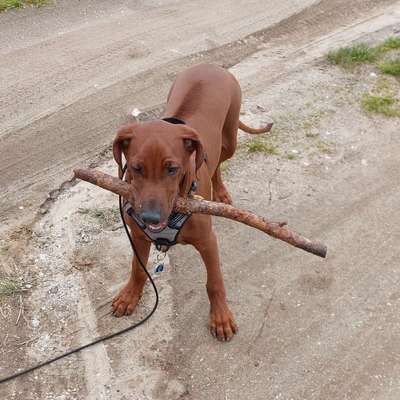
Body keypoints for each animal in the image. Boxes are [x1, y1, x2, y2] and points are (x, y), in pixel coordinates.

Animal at [111, 62, 270, 340]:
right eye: (136, 168)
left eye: (172, 169)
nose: (150, 217)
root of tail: (212, 66)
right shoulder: (139, 237)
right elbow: (137, 268)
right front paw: (130, 295)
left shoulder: (208, 242)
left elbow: (214, 282)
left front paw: (220, 317)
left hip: (229, 138)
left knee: (217, 162)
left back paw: (221, 193)